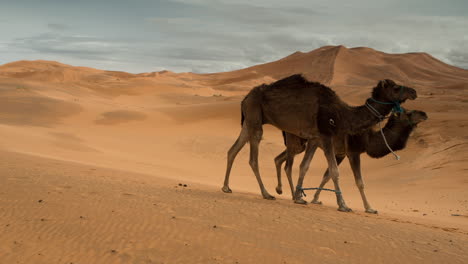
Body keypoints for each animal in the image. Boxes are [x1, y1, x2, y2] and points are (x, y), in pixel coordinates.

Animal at [274, 108, 428, 213]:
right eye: (409, 113)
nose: (424, 114)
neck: (369, 138)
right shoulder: (353, 152)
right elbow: (359, 181)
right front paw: (369, 208)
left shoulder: (341, 153)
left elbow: (327, 175)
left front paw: (316, 199)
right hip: (299, 139)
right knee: (290, 166)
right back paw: (294, 195)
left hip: (305, 143)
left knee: (284, 160)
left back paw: (283, 190)